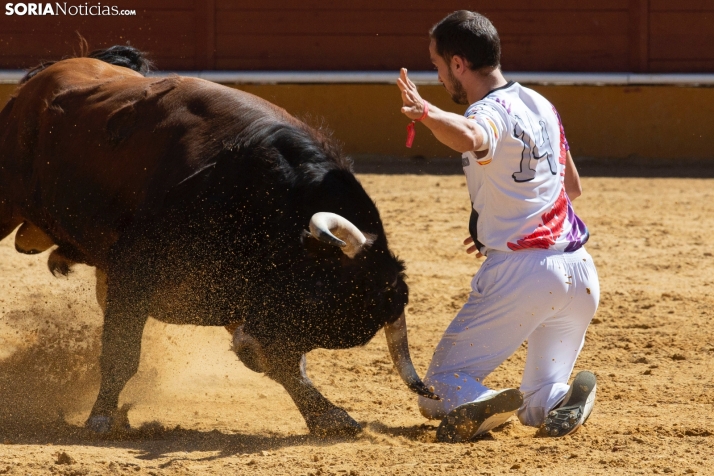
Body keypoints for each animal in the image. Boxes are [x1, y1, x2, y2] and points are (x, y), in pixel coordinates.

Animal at [0, 46, 436, 436]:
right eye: (316, 292)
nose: (249, 347)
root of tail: (42, 78)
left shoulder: (237, 296)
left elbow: (286, 366)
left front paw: (329, 417)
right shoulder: (134, 272)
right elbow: (122, 352)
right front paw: (102, 420)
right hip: (8, 204)